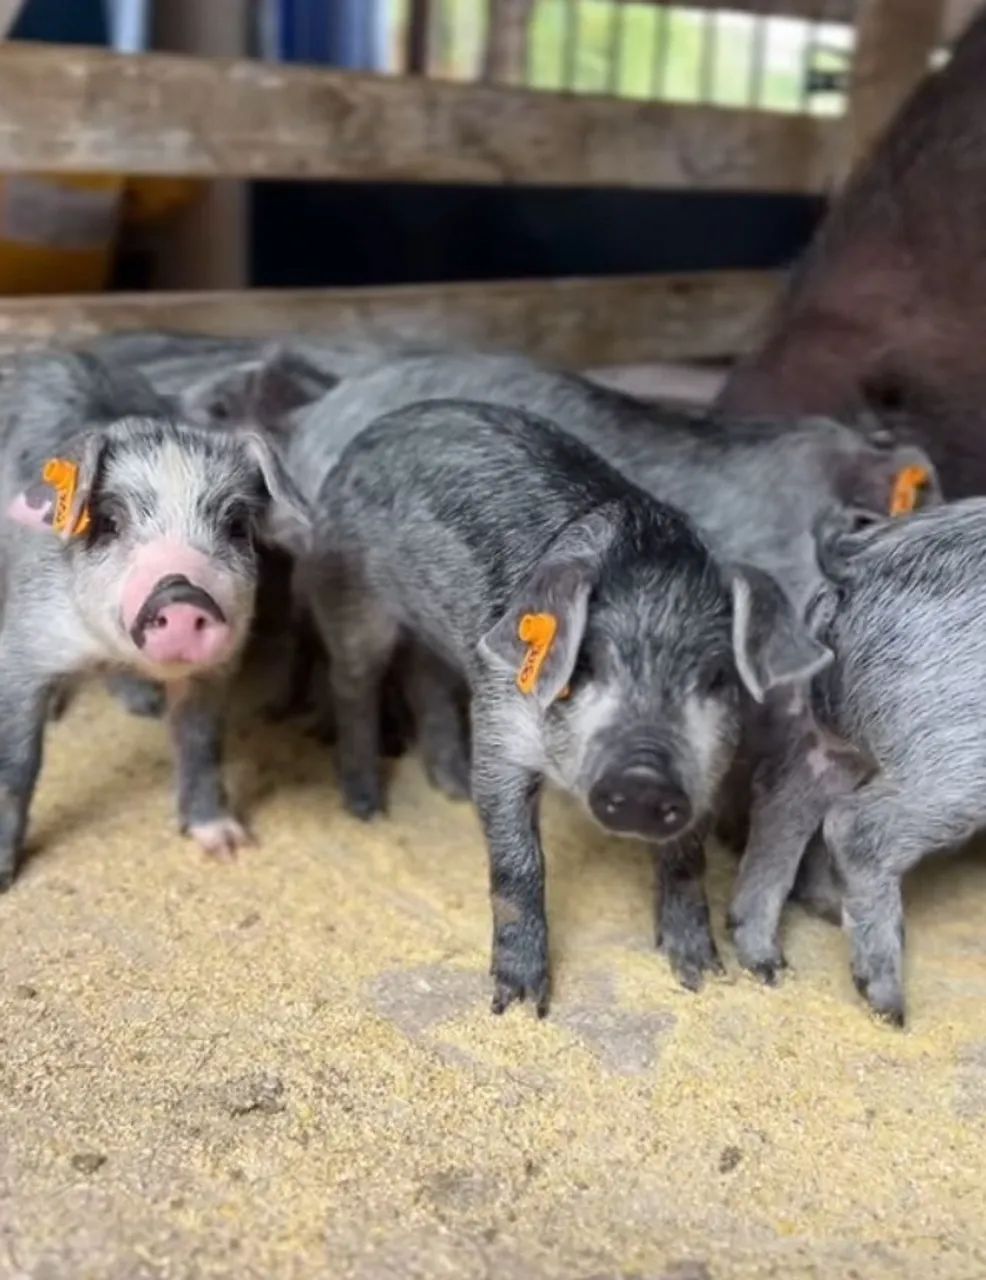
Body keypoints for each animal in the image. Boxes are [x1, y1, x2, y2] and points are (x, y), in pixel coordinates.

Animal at [0, 350, 310, 886]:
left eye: (235, 525)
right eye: (108, 522)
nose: (183, 594)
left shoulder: (216, 668)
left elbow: (201, 744)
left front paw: (228, 845)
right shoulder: (26, 639)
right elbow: (16, 764)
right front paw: (4, 878)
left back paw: (142, 704)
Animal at [301, 398, 830, 1012]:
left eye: (717, 677)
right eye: (583, 667)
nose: (643, 777)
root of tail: (382, 426)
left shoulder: (709, 768)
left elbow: (685, 862)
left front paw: (702, 974)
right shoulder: (502, 722)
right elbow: (518, 864)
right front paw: (518, 1003)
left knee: (424, 676)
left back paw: (451, 788)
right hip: (351, 594)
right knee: (353, 685)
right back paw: (367, 809)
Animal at [728, 499, 986, 1024]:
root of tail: (860, 560)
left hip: (834, 738)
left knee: (785, 799)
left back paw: (767, 961)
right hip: (955, 757)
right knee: (855, 828)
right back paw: (890, 1007)